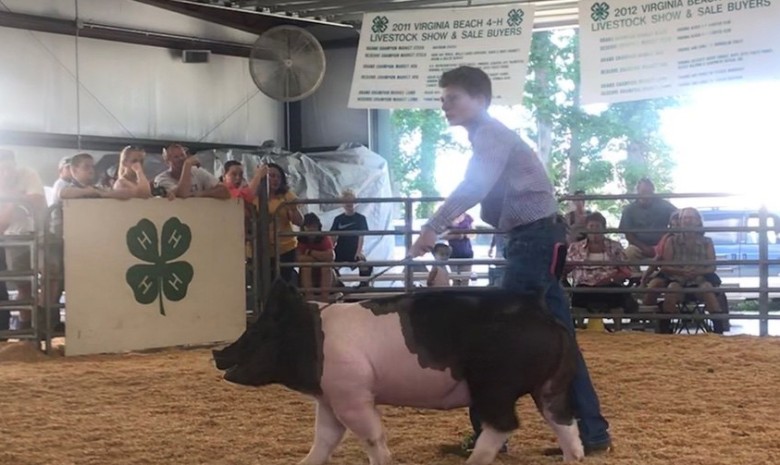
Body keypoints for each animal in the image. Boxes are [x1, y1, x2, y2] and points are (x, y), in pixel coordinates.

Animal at [213, 280, 584, 464]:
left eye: (260, 331)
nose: (218, 353)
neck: (314, 337)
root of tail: (541, 311)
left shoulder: (353, 395)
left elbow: (372, 437)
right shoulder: (331, 398)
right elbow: (324, 441)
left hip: (494, 386)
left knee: (503, 427)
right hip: (552, 386)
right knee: (565, 425)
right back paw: (572, 459)